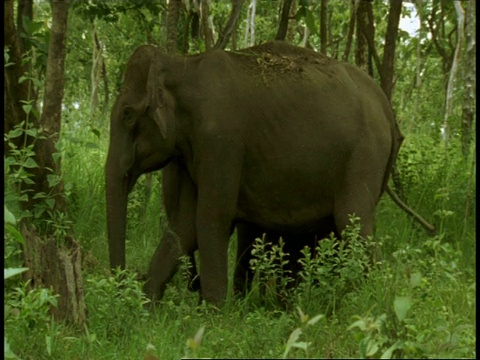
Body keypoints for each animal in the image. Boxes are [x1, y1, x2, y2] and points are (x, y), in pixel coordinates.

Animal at [105, 40, 402, 306]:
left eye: (128, 114)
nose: (121, 284)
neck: (182, 64)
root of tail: (387, 108)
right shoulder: (191, 151)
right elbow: (184, 225)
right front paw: (144, 311)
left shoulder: (222, 142)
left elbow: (212, 216)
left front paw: (214, 316)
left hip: (364, 155)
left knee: (353, 224)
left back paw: (366, 305)